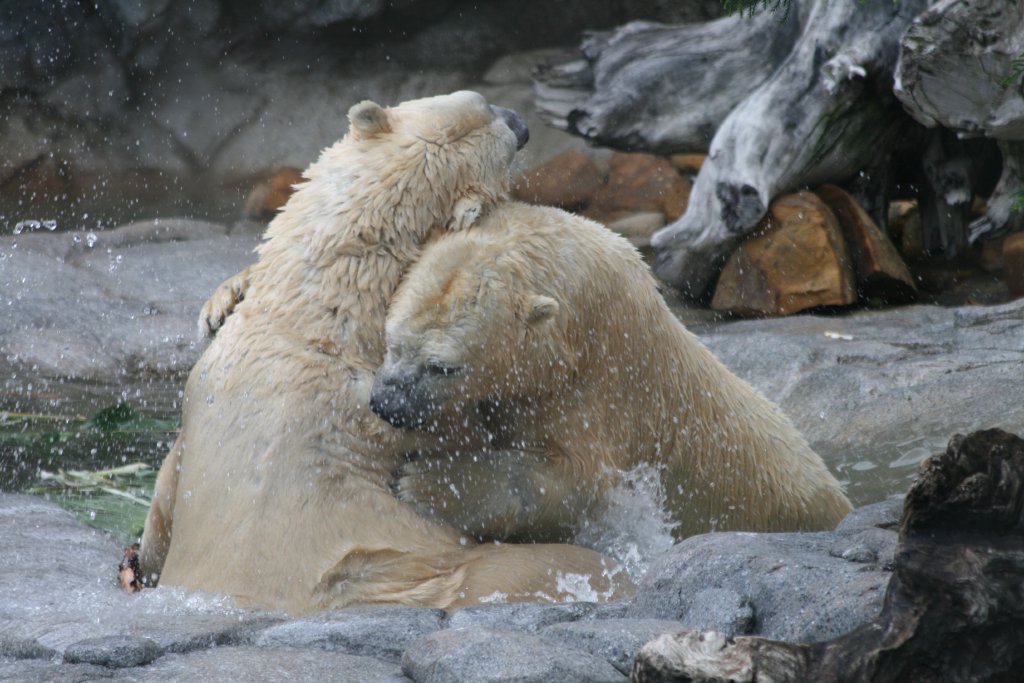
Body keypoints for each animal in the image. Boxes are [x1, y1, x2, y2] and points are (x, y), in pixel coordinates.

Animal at [369, 201, 854, 544]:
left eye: (442, 366)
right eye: (391, 340)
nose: (386, 403)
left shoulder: (600, 386)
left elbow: (574, 484)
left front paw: (425, 483)